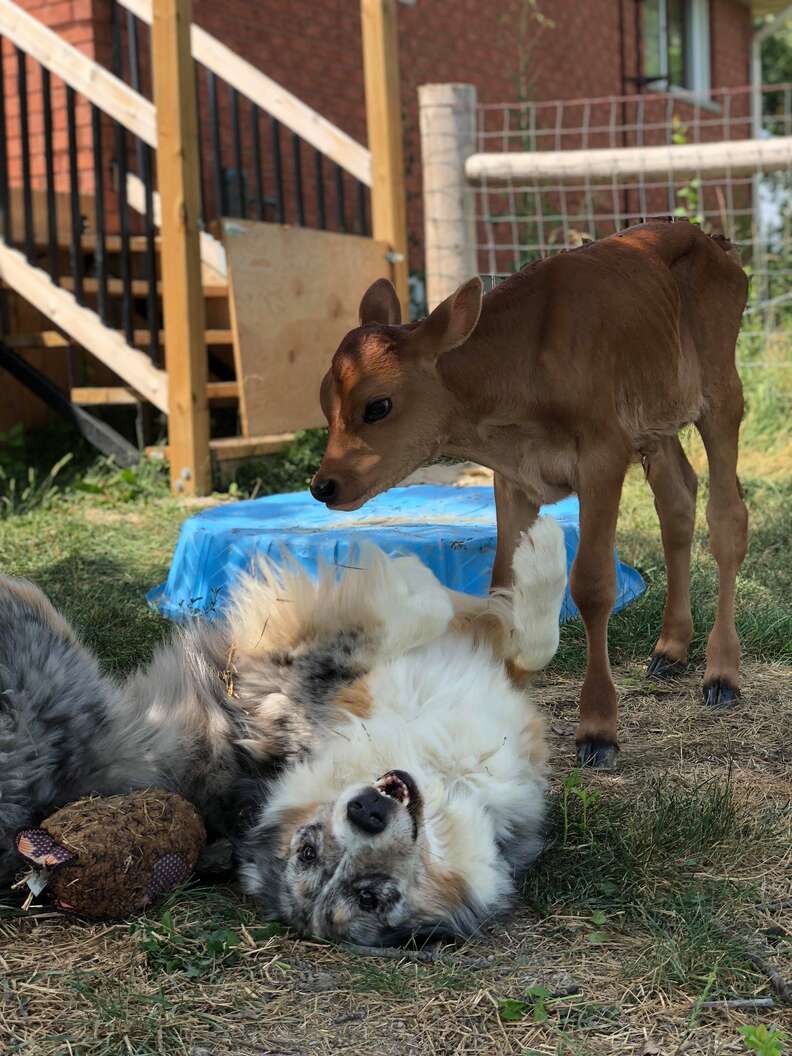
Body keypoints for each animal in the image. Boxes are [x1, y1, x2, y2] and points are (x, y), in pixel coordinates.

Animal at [1, 517, 570, 941]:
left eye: (370, 896)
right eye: (309, 852)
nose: (366, 812)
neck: (442, 769)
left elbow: (506, 635)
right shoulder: (304, 672)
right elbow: (453, 618)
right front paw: (531, 549)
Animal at [310, 222, 751, 768]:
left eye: (378, 406)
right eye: (324, 402)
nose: (323, 484)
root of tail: (709, 237)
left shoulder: (602, 455)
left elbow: (592, 585)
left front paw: (597, 728)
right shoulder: (513, 478)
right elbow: (504, 586)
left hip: (721, 392)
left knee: (726, 518)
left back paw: (722, 671)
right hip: (656, 420)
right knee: (677, 503)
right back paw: (671, 647)